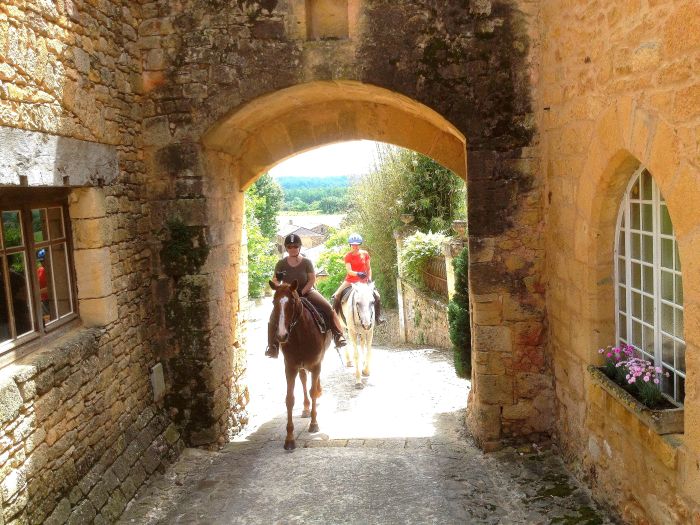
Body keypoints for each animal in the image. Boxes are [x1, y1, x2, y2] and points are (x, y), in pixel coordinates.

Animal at [270, 280, 332, 448]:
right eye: (273, 302)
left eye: (292, 302)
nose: (281, 335)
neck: (300, 335)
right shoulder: (290, 367)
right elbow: (289, 399)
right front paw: (289, 438)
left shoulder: (316, 364)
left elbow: (313, 392)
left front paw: (314, 424)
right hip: (301, 366)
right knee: (304, 380)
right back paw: (305, 409)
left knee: (313, 383)